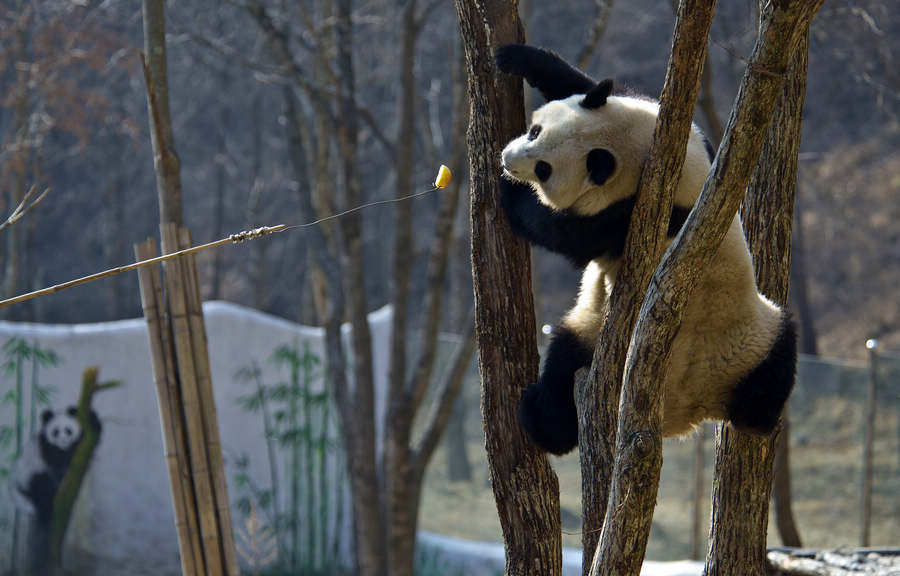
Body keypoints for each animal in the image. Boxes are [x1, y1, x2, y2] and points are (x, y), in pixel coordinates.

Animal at [495, 44, 797, 456]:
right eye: (534, 130)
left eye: (544, 169)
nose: (507, 159)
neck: (642, 157)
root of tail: (686, 412)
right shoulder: (692, 140)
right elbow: (584, 84)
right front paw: (516, 57)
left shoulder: (628, 215)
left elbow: (561, 235)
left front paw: (510, 192)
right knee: (776, 368)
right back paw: (758, 419)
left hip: (729, 334)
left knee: (562, 373)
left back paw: (540, 420)